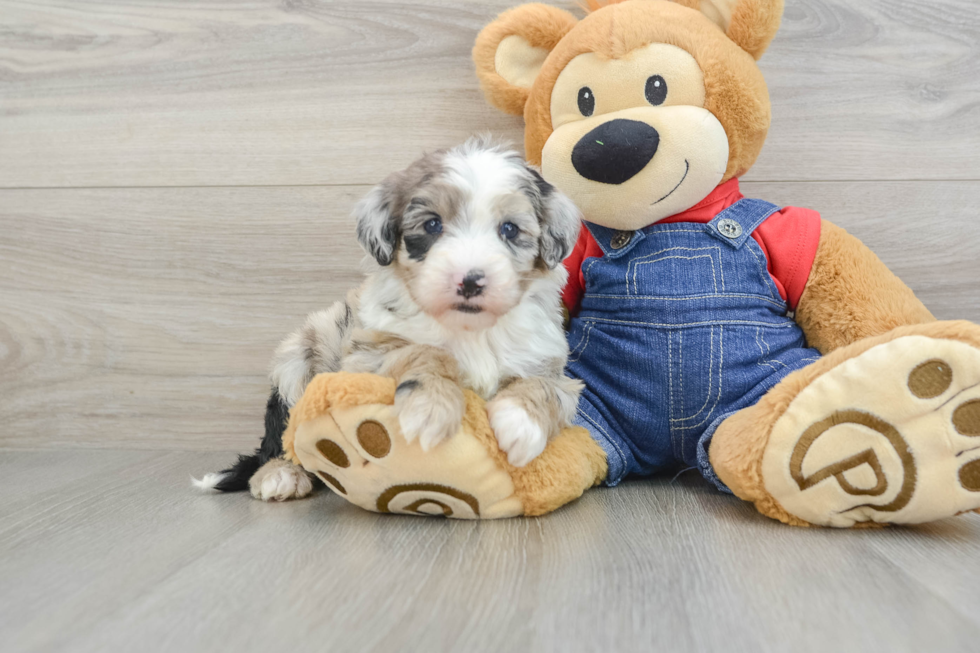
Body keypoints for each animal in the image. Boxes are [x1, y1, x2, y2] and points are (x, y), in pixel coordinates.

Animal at [196, 139, 584, 500]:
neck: (470, 330)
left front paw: (520, 424)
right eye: (432, 224)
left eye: (509, 229)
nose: (471, 281)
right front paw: (431, 408)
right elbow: (424, 352)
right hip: (299, 356)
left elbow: (544, 387)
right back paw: (279, 475)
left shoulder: (551, 364)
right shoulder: (366, 355)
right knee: (279, 435)